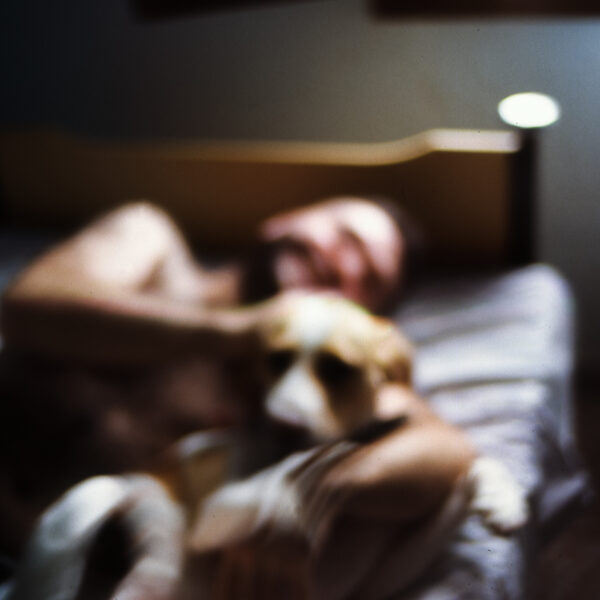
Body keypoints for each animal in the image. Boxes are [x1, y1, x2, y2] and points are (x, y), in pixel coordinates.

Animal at [3, 293, 529, 600]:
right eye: (274, 359)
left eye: (338, 368)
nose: (281, 424)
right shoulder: (215, 514)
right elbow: (288, 478)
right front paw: (302, 488)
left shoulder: (387, 571)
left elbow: (468, 467)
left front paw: (501, 496)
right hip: (141, 534)